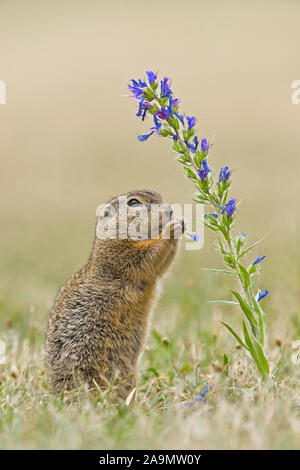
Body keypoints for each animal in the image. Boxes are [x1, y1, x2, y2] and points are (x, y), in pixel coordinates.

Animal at [45, 189, 185, 398]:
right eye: (133, 202)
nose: (170, 210)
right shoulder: (119, 252)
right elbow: (146, 256)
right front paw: (172, 228)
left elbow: (161, 265)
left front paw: (181, 223)